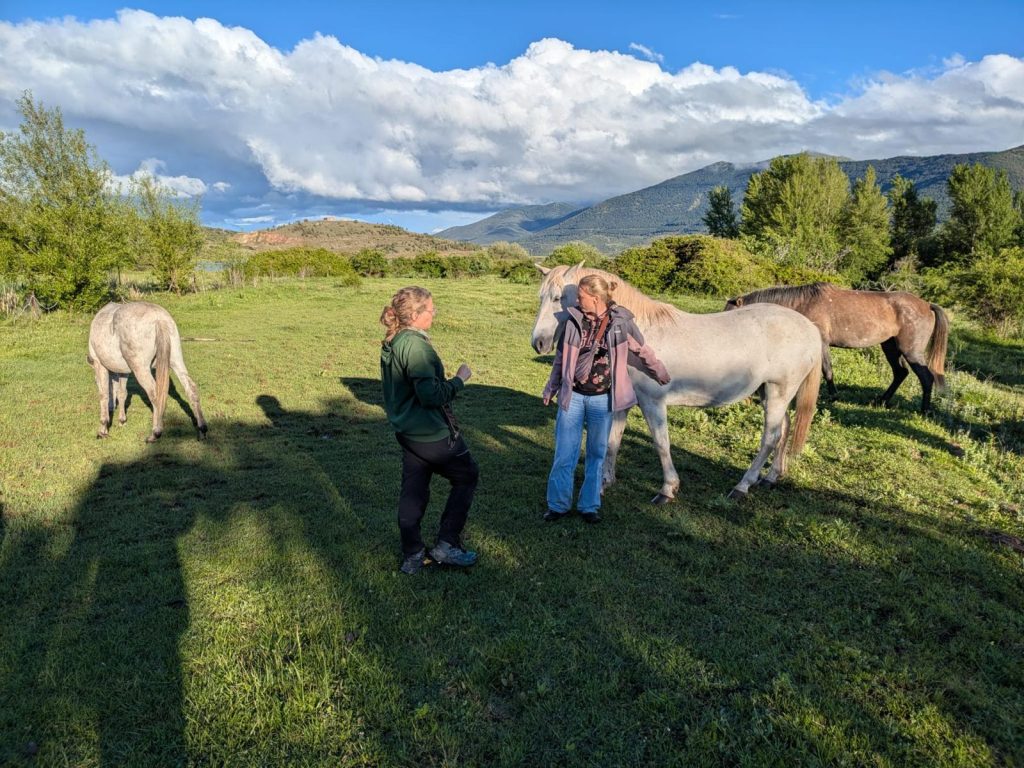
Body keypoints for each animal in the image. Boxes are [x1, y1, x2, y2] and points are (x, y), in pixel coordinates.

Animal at [87, 301, 208, 443]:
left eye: (95, 380)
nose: (112, 409)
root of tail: (159, 318)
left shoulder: (99, 365)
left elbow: (104, 395)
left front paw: (103, 429)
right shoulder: (123, 371)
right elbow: (122, 393)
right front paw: (122, 420)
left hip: (141, 368)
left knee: (155, 394)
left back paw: (155, 433)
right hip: (176, 361)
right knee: (191, 389)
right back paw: (202, 430)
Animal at [532, 264, 823, 501]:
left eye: (558, 298)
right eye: (541, 297)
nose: (538, 342)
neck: (640, 334)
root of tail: (810, 327)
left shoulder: (653, 402)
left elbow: (661, 443)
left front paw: (667, 489)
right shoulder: (622, 402)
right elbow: (613, 441)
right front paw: (604, 483)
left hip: (778, 392)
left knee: (770, 437)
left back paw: (742, 486)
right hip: (769, 393)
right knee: (784, 429)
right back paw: (771, 477)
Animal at [724, 283, 948, 413]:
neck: (803, 301)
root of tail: (927, 305)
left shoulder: (821, 342)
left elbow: (827, 370)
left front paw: (832, 396)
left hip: (911, 351)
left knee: (925, 377)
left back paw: (924, 411)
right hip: (890, 347)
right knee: (900, 373)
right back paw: (881, 401)